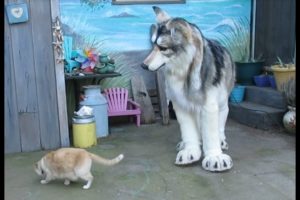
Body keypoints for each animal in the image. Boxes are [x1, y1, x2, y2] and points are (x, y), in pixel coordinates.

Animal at [142, 6, 236, 172]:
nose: (143, 65)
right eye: (153, 45)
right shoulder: (181, 104)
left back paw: (221, 140)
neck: (184, 70)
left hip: (223, 100)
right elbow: (188, 130)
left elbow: (211, 131)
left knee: (221, 120)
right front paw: (190, 150)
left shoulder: (209, 105)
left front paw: (214, 156)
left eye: (163, 48)